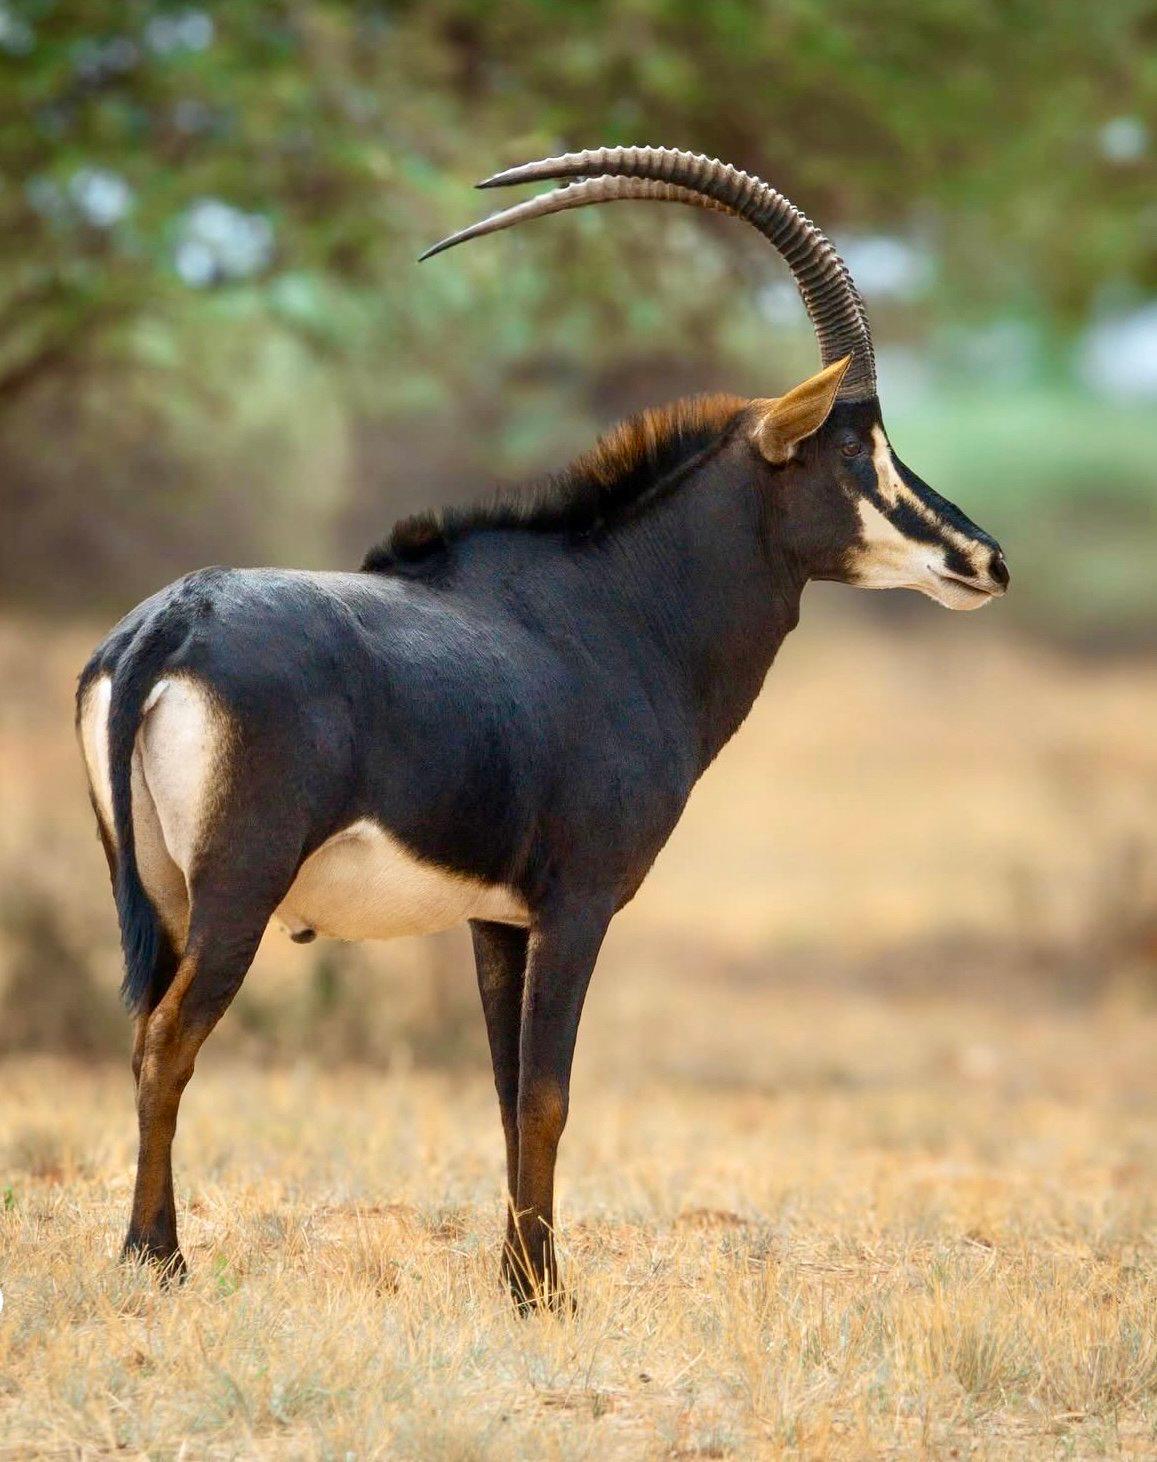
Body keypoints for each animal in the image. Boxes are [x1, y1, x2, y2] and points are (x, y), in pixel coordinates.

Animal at [77, 146, 1008, 1309]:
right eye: (853, 454)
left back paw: (145, 1247)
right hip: (236, 893)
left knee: (139, 1034)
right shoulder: (578, 904)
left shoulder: (496, 919)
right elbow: (549, 1094)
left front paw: (518, 1273)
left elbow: (504, 1087)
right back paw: (159, 1258)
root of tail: (170, 623)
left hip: (158, 892)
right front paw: (544, 1291)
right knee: (167, 1041)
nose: (982, 559)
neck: (612, 610)